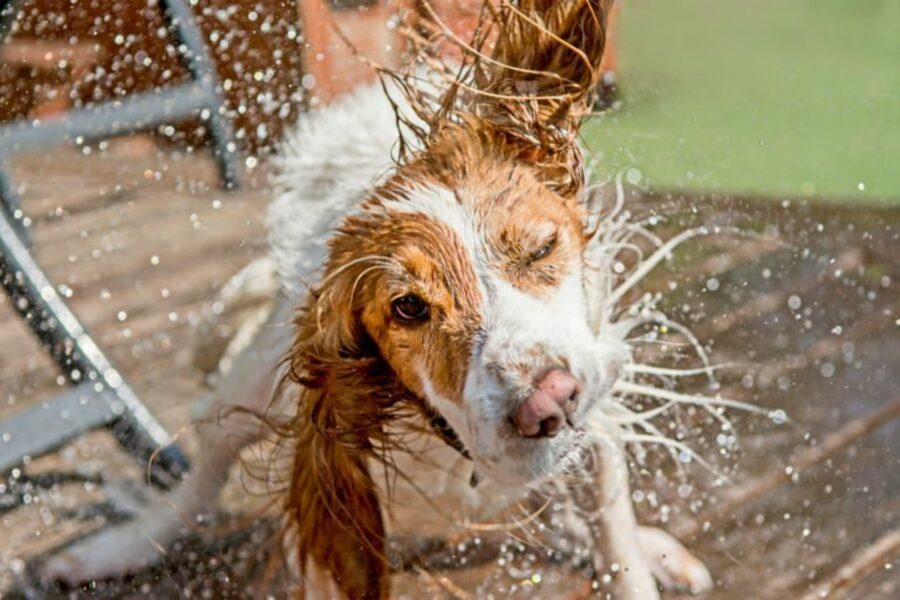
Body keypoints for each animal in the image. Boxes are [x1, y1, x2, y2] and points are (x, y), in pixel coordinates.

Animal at [44, 2, 716, 596]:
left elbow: (614, 535)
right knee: (201, 474)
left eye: (542, 247)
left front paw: (634, 555)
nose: (547, 403)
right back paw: (120, 547)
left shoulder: (596, 408)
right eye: (408, 308)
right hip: (250, 387)